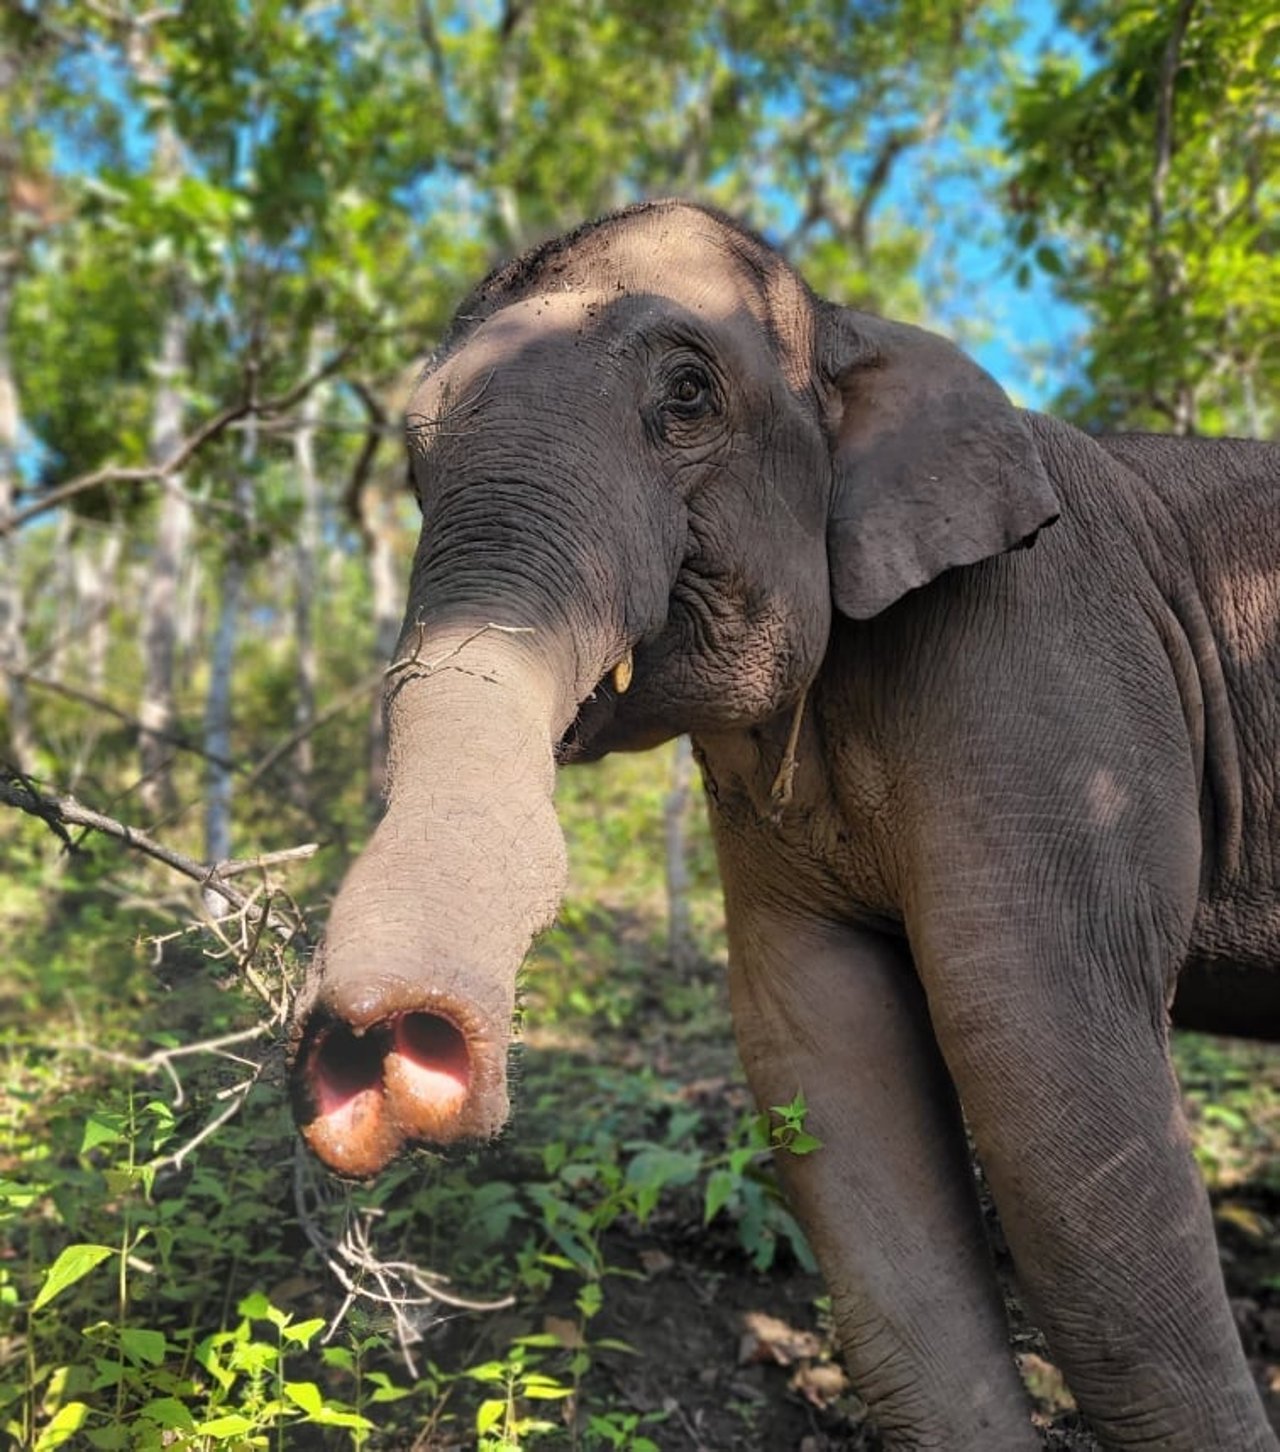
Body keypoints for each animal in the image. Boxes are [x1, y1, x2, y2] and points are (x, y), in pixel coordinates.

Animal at [288, 198, 1277, 1446]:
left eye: (687, 396)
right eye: (413, 459)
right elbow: (827, 1062)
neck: (855, 332)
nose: (378, 1042)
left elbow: (1049, 1080)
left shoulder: (1049, 660)